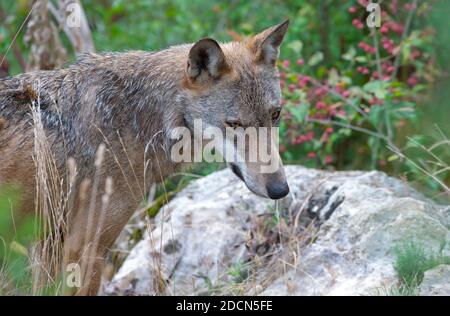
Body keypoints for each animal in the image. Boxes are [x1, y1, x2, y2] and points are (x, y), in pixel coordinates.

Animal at [0, 21, 288, 296]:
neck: (138, 117)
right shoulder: (83, 247)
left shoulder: (49, 243)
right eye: (234, 124)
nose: (280, 190)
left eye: (275, 115)